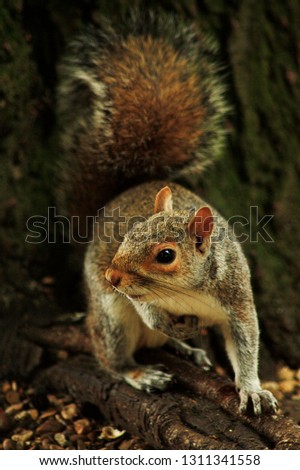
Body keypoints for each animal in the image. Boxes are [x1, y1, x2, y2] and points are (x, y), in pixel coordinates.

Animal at [57, 10, 278, 414]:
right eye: (129, 233)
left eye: (165, 255)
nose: (112, 275)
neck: (185, 291)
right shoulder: (138, 296)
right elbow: (149, 312)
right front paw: (172, 325)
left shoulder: (237, 299)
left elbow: (245, 345)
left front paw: (252, 388)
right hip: (111, 317)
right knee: (110, 355)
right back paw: (142, 372)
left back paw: (187, 350)